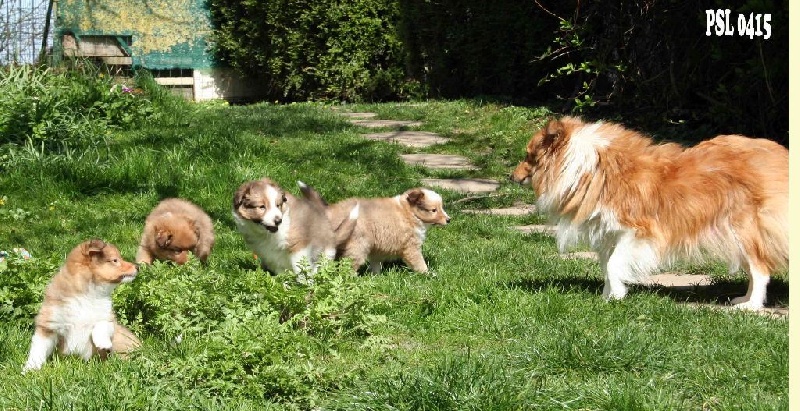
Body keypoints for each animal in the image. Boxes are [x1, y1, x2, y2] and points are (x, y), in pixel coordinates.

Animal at [23, 241, 141, 374]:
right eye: (115, 260)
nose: (138, 267)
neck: (87, 294)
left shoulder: (109, 318)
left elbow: (101, 324)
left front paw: (103, 342)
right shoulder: (49, 325)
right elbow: (38, 349)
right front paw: (30, 369)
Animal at [230, 179, 358, 278]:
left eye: (278, 205)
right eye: (262, 207)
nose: (278, 221)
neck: (267, 235)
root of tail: (332, 235)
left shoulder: (299, 246)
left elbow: (300, 268)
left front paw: (303, 284)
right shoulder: (270, 256)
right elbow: (281, 272)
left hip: (325, 253)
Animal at [512, 116, 788, 308]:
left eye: (529, 156)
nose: (510, 177)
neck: (589, 166)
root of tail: (780, 155)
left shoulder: (637, 232)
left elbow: (614, 265)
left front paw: (616, 298)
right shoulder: (609, 234)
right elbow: (607, 268)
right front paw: (608, 296)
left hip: (742, 229)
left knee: (761, 269)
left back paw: (751, 306)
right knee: (755, 269)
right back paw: (742, 299)